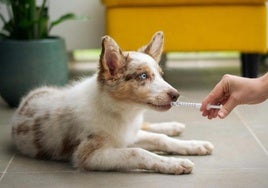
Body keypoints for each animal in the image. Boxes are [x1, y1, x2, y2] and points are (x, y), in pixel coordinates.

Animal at [11, 31, 214, 175]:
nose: (176, 95)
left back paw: (173, 127)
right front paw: (174, 163)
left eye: (161, 75)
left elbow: (160, 139)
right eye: (143, 76)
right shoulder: (89, 155)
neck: (122, 111)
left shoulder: (128, 134)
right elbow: (138, 152)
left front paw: (193, 145)